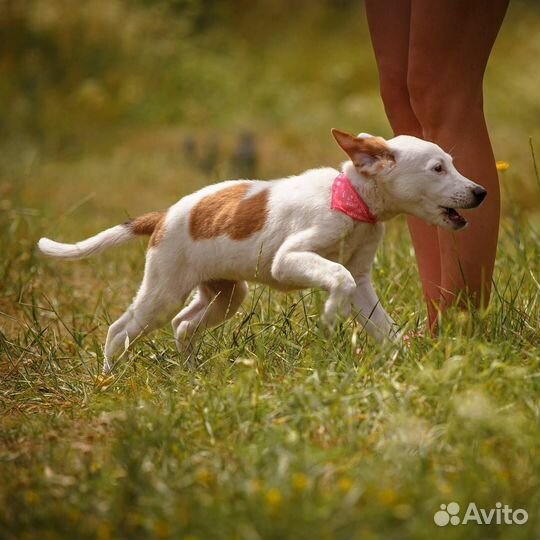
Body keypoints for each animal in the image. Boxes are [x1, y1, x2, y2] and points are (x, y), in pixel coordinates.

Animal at [38, 130, 486, 376]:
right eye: (437, 168)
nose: (481, 192)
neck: (352, 199)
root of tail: (162, 217)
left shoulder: (361, 282)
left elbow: (384, 326)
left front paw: (410, 363)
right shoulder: (289, 261)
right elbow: (335, 277)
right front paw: (330, 316)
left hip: (225, 295)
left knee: (184, 325)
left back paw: (191, 373)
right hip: (163, 291)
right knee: (121, 329)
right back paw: (108, 379)